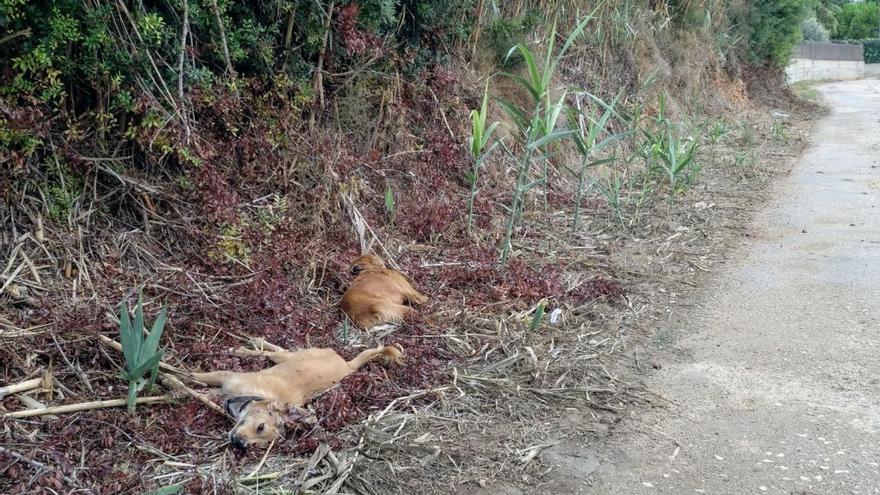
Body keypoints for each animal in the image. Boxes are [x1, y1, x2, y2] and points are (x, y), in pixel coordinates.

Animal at [192, 340, 402, 452]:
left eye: (259, 445)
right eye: (260, 426)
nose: (239, 444)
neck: (255, 397)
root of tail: (347, 364)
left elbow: (205, 391)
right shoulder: (226, 376)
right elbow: (196, 378)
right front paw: (184, 378)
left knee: (273, 352)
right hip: (290, 357)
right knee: (275, 351)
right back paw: (251, 346)